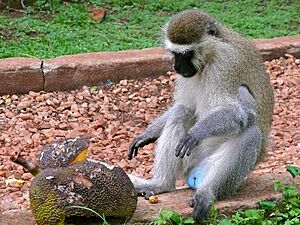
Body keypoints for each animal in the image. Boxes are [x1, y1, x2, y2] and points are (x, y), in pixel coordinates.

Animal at [127, 9, 274, 222]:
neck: (210, 57)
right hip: (191, 160)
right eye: (175, 54)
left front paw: (196, 133)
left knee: (250, 128)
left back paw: (206, 192)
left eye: (187, 54)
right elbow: (184, 105)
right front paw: (149, 133)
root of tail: (195, 176)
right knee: (182, 112)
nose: (177, 67)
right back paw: (161, 184)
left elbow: (236, 112)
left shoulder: (225, 64)